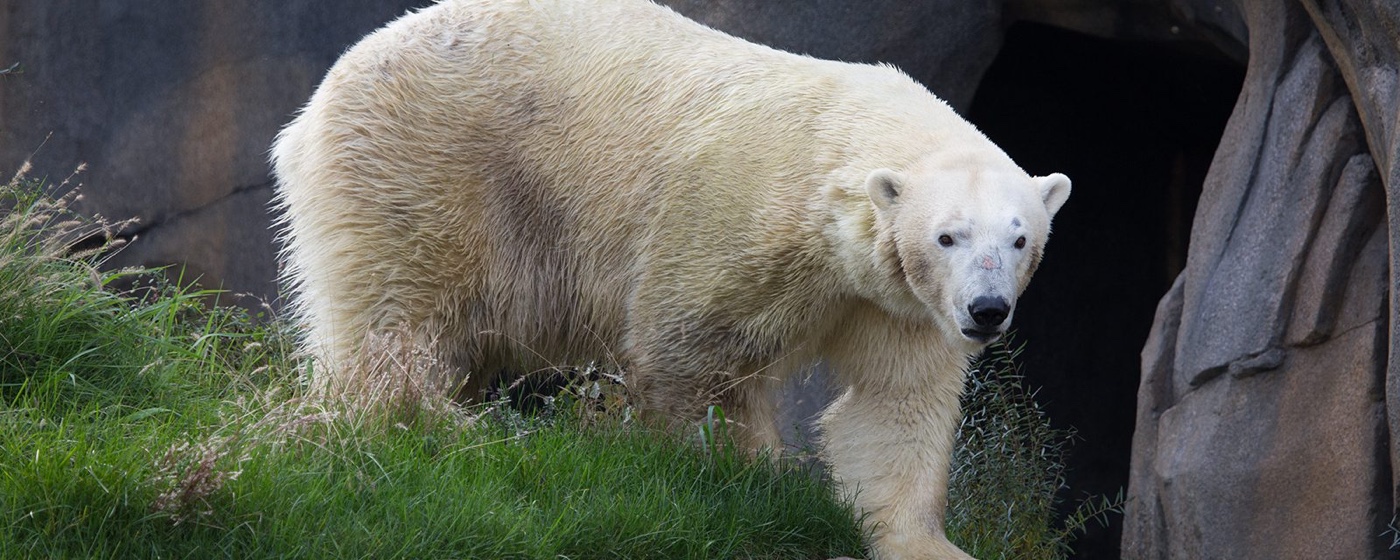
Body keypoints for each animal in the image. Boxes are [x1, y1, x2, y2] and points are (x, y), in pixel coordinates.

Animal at [270, 1, 1070, 558]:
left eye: (1020, 238)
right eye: (947, 235)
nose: (987, 310)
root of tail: (313, 109)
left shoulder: (897, 300)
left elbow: (892, 402)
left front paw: (924, 541)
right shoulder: (738, 216)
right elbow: (693, 354)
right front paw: (755, 480)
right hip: (422, 164)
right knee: (398, 312)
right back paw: (431, 421)